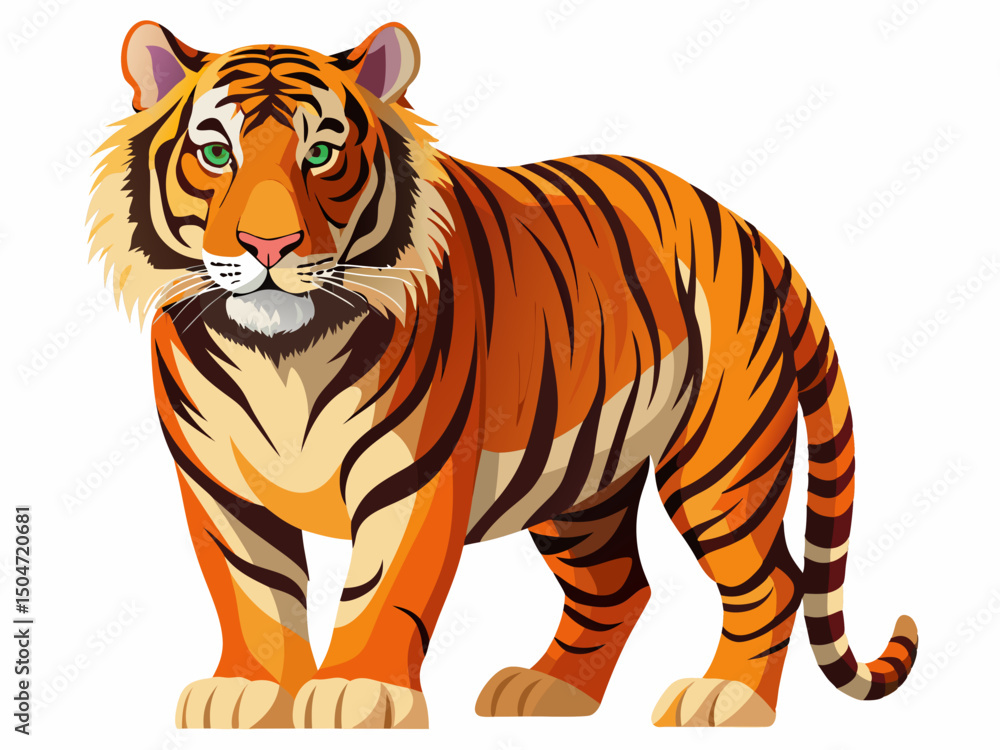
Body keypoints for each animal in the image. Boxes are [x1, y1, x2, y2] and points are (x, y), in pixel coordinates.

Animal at [87, 20, 918, 729]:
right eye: (215, 154)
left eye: (321, 155)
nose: (268, 246)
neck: (280, 357)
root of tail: (744, 226)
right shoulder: (217, 481)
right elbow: (251, 591)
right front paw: (252, 692)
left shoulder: (413, 475)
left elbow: (382, 587)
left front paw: (359, 689)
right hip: (581, 486)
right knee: (618, 586)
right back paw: (549, 691)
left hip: (719, 461)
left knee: (770, 582)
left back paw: (726, 698)